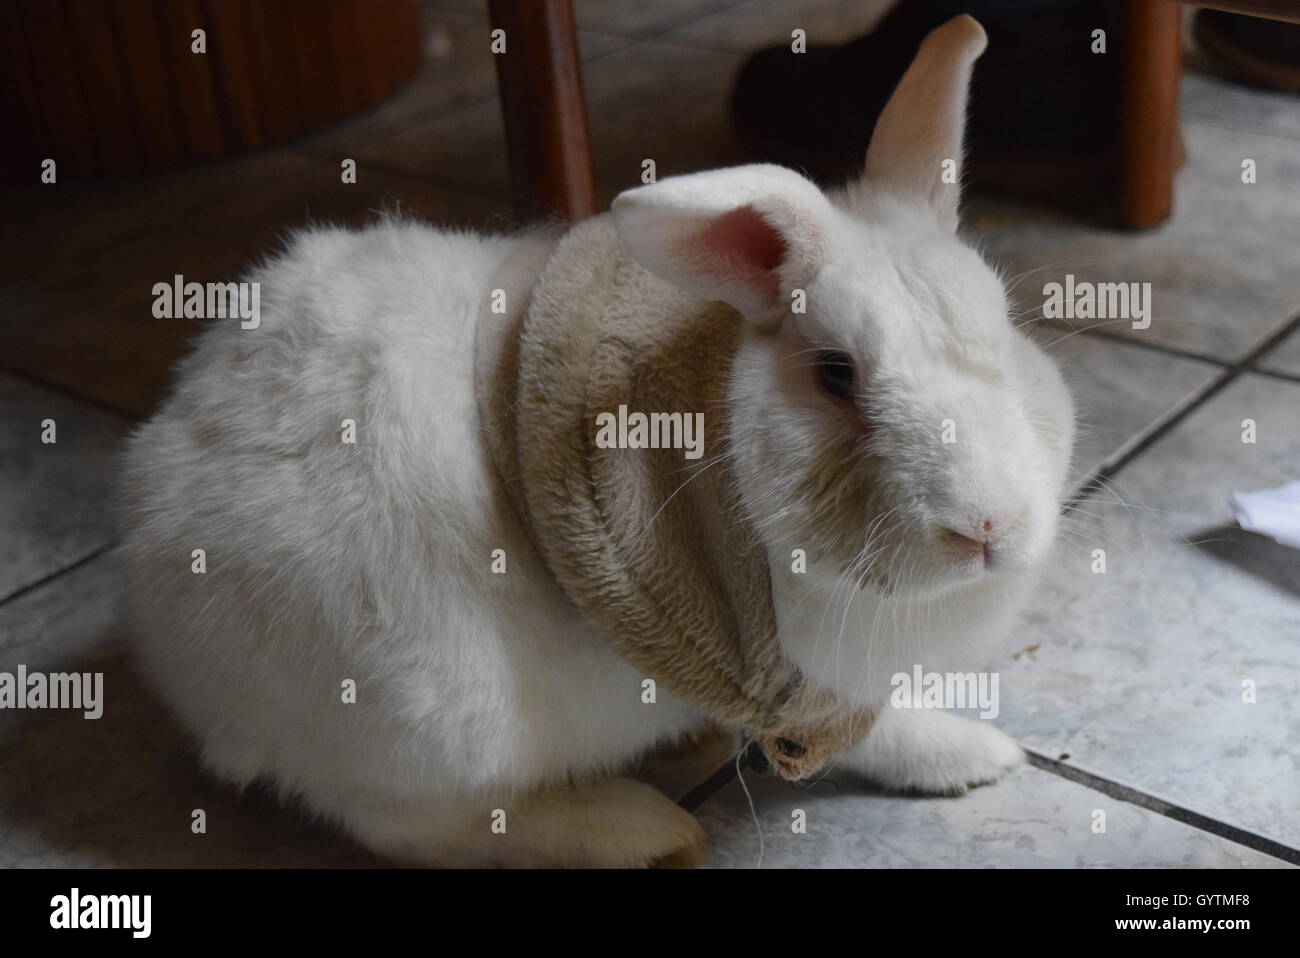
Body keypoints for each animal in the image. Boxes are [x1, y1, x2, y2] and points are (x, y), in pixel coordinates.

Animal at [116, 16, 1071, 868]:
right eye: (836, 373)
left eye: (1004, 324)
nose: (988, 526)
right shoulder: (782, 680)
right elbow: (862, 732)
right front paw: (973, 759)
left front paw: (979, 755)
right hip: (430, 722)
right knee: (415, 828)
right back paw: (636, 829)